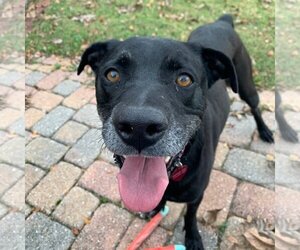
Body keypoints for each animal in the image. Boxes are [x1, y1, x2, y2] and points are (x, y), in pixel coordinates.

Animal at [78, 15, 274, 250]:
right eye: (112, 75)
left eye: (184, 79)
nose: (139, 127)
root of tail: (223, 21)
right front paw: (157, 208)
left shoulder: (197, 195)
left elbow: (190, 215)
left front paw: (193, 238)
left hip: (246, 84)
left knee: (255, 107)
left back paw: (265, 131)